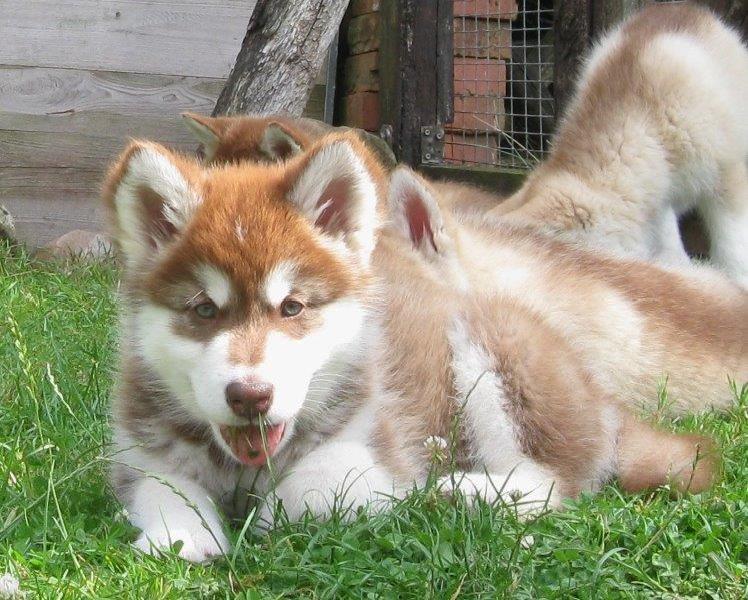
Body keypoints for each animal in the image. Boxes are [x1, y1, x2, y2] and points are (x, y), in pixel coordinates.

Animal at [105, 133, 746, 563]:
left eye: (292, 308)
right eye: (204, 311)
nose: (250, 396)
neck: (243, 468)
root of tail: (600, 398)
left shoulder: (374, 445)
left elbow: (310, 494)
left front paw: (277, 517)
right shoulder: (138, 454)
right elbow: (162, 489)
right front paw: (183, 533)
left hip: (489, 351)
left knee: (555, 479)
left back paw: (462, 493)